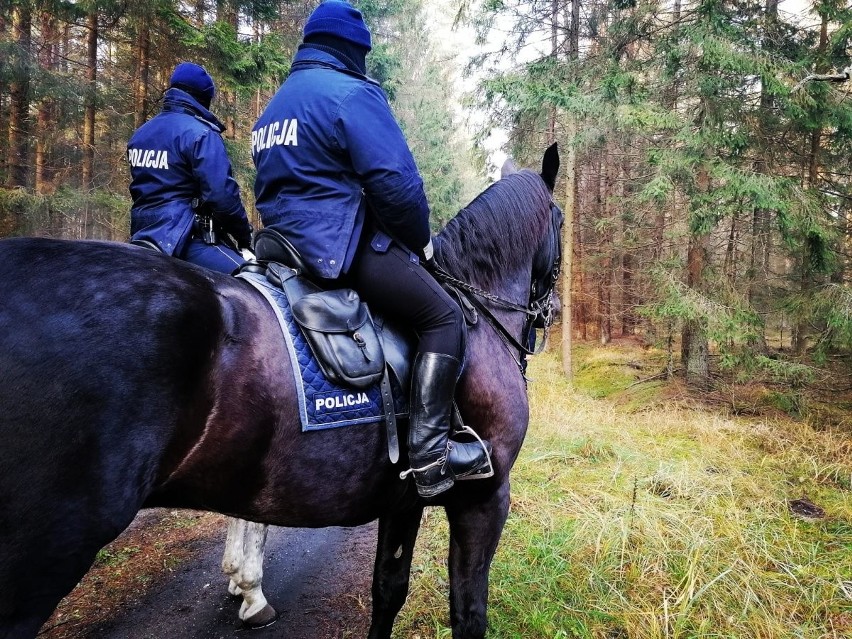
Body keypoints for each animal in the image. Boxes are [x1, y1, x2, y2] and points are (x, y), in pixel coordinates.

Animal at [0, 146, 564, 639]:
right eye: (560, 221)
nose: (551, 312)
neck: (476, 318)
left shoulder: (403, 500)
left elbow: (389, 589)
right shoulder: (484, 497)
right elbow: (468, 613)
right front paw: (247, 589)